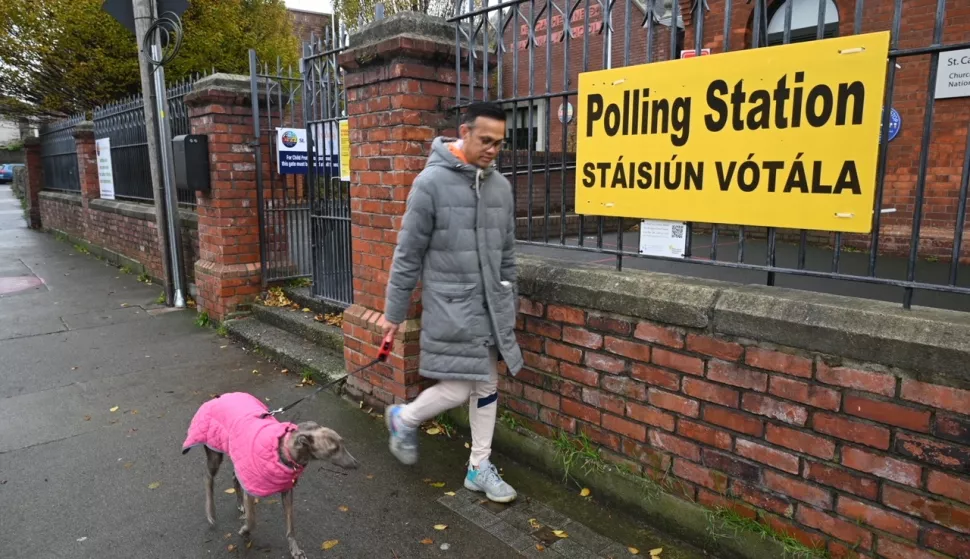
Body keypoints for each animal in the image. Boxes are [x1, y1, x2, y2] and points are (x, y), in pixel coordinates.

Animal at [180, 394, 358, 559]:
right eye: (334, 449)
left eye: (343, 443)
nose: (357, 464)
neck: (282, 452)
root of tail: (218, 397)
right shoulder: (251, 488)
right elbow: (252, 520)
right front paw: (244, 530)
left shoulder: (287, 491)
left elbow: (290, 525)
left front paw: (295, 549)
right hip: (215, 455)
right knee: (208, 478)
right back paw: (211, 513)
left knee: (234, 478)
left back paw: (239, 504)